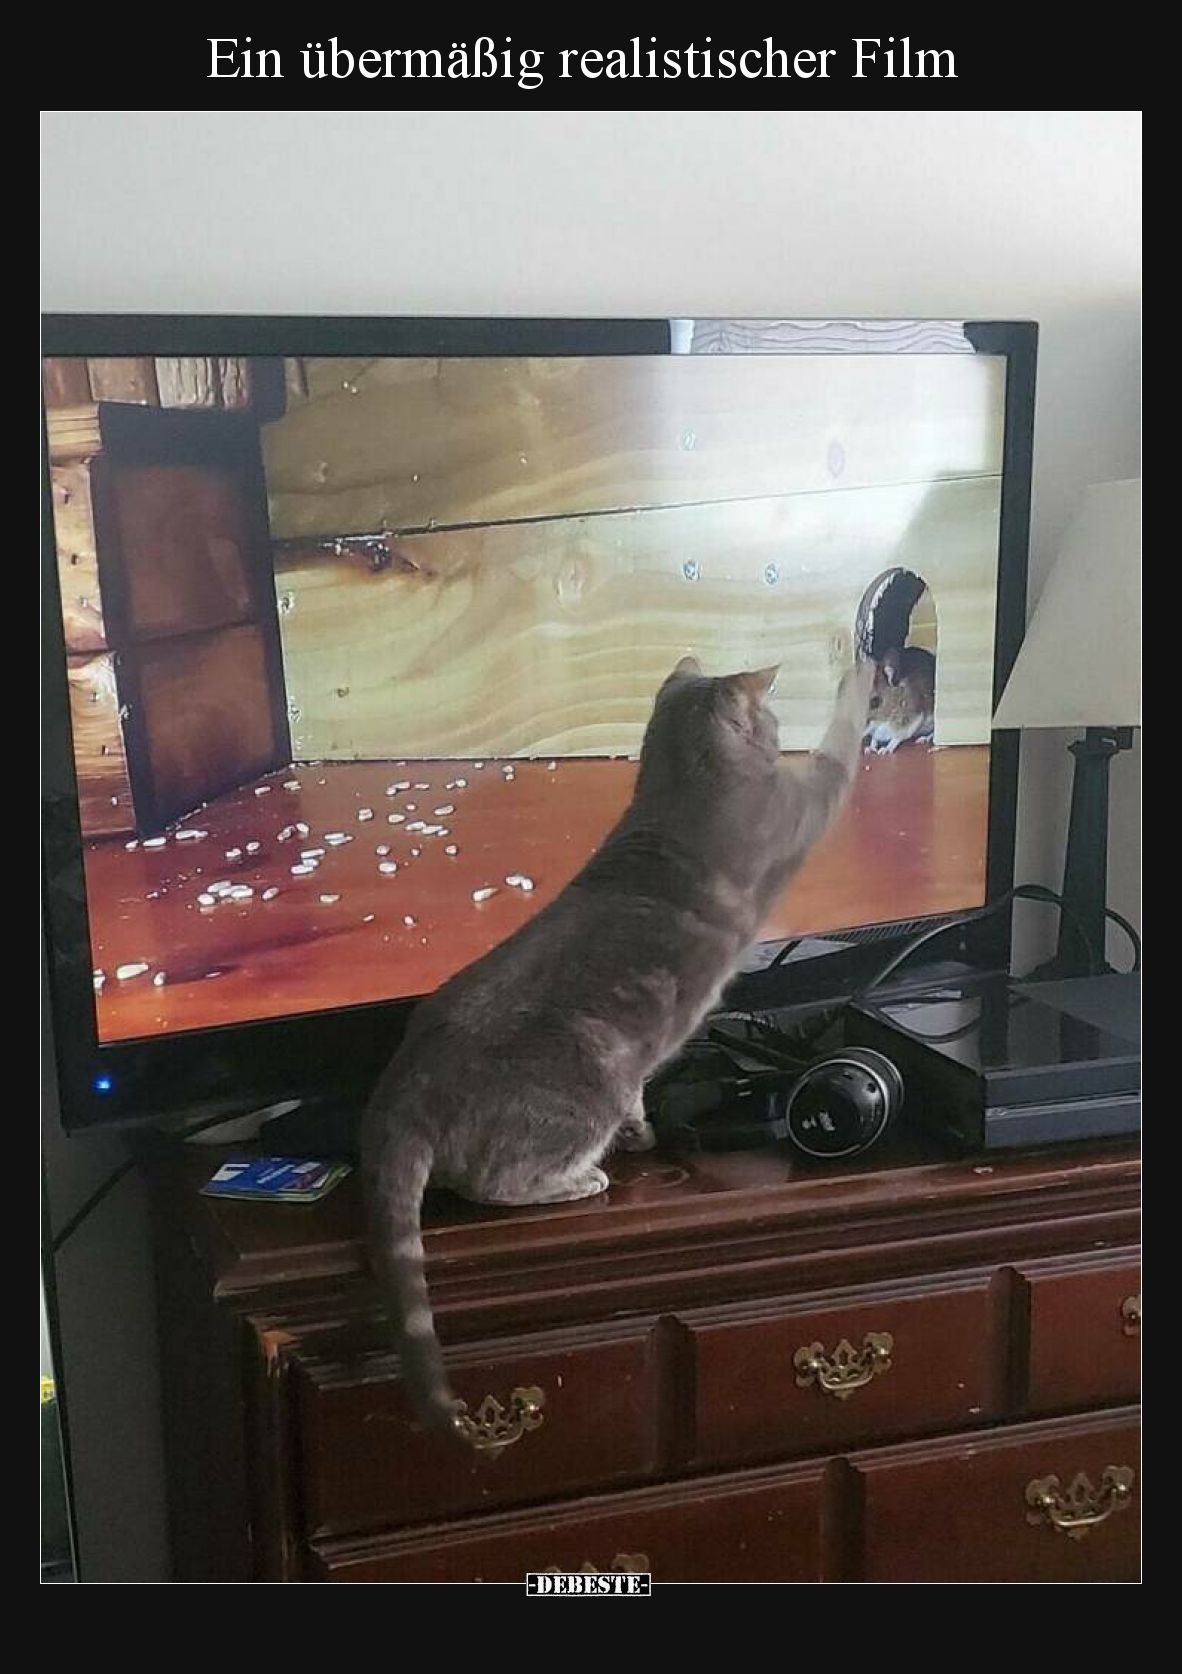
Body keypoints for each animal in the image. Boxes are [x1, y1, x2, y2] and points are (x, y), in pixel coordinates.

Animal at [361, 654, 875, 1442]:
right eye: (774, 718)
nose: (776, 720)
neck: (676, 789)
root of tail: (406, 1081)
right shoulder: (803, 798)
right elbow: (841, 745)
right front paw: (862, 670)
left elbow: (642, 1101)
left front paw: (644, 1133)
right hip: (585, 1078)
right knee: (494, 1181)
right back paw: (581, 1180)